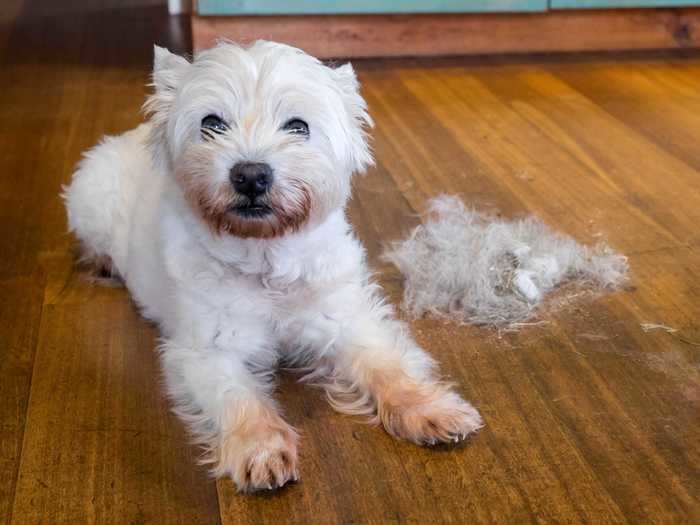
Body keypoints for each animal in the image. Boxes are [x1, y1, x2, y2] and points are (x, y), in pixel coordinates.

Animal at [63, 41, 484, 492]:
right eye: (212, 124)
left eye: (298, 127)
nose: (250, 175)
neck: (267, 261)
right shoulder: (206, 351)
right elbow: (240, 399)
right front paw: (260, 451)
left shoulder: (346, 321)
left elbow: (387, 366)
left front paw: (431, 409)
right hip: (88, 202)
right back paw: (104, 263)